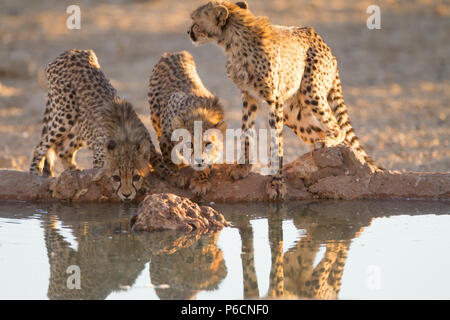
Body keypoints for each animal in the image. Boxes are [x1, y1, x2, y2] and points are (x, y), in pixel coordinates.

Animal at [29, 49, 162, 200]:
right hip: (66, 114)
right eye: (116, 177)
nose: (126, 195)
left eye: (135, 177)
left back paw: (75, 173)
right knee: (41, 146)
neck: (126, 140)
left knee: (64, 151)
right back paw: (34, 174)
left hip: (81, 127)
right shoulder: (99, 158)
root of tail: (72, 51)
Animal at [149, 51, 227, 196]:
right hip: (155, 116)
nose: (199, 160)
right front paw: (174, 174)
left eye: (208, 144)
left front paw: (201, 180)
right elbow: (168, 154)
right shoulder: (166, 135)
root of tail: (175, 52)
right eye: (189, 144)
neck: (200, 114)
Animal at [188, 0, 378, 200]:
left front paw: (276, 183)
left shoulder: (274, 100)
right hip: (291, 112)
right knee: (318, 132)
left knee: (338, 129)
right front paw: (243, 167)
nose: (188, 32)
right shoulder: (249, 96)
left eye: (195, 21)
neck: (233, 41)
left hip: (311, 92)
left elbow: (275, 142)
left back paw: (326, 143)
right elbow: (246, 131)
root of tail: (320, 40)